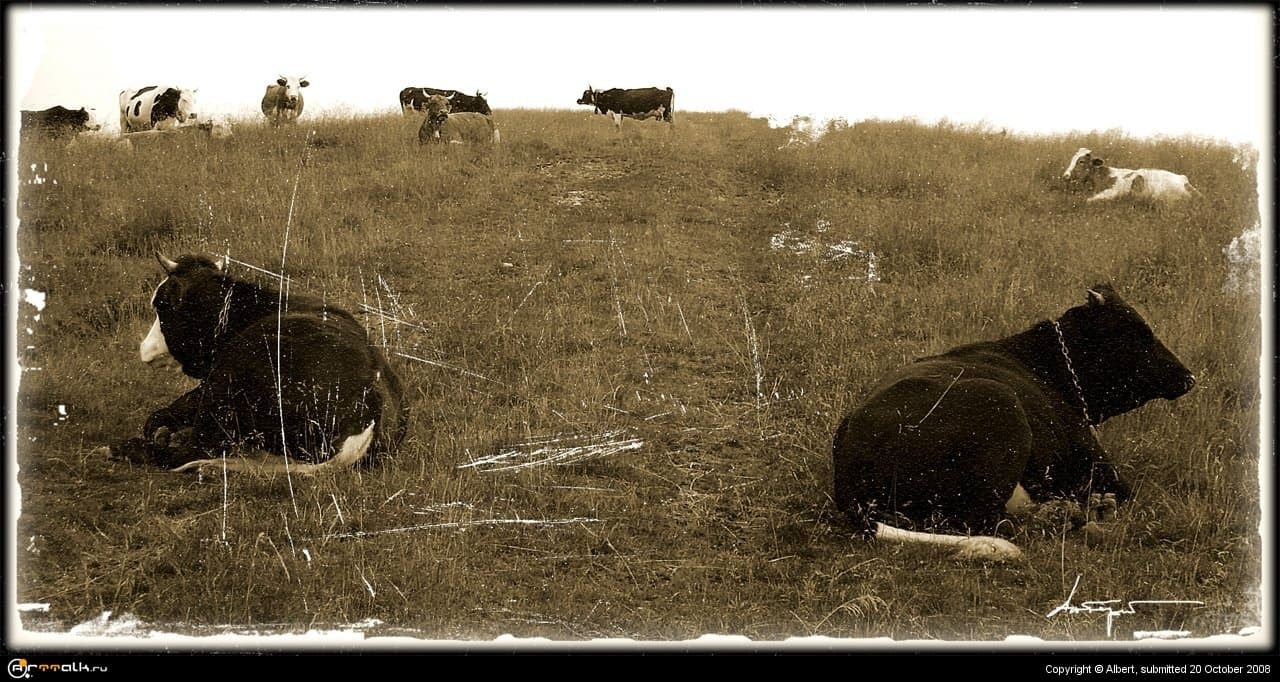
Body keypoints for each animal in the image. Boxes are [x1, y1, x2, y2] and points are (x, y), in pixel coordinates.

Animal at [831, 284, 1195, 561]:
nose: (1188, 377)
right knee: (984, 522)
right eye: (1139, 333)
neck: (1047, 367)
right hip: (1001, 406)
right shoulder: (1101, 467)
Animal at [1062, 148, 1201, 202]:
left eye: (1081, 161)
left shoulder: (1111, 193)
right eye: (1072, 159)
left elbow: (1088, 200)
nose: (1065, 175)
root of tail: (1184, 180)